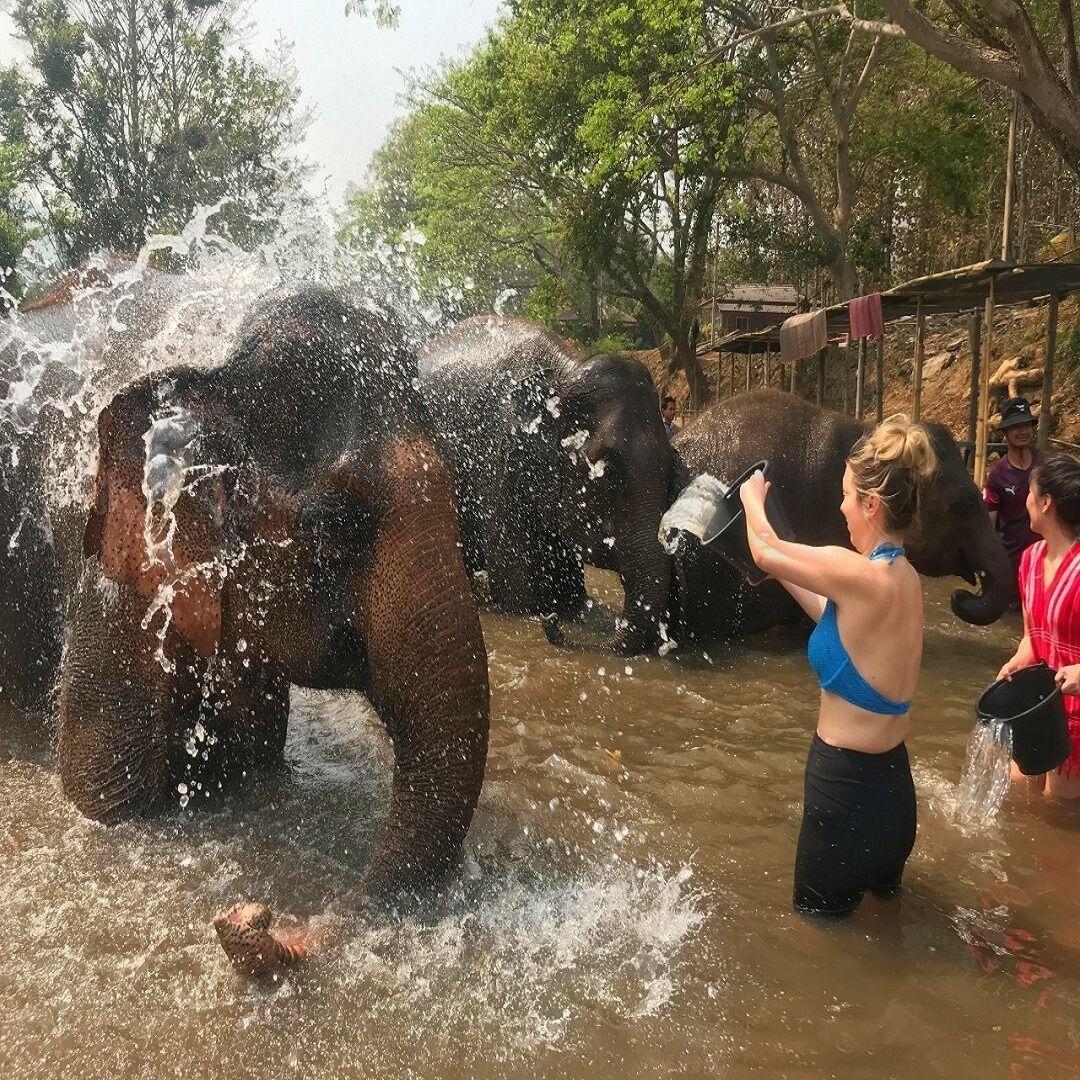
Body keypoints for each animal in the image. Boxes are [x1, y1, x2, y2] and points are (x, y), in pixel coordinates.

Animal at [420, 316, 675, 655]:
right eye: (608, 470)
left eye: (672, 465)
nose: (550, 623)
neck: (565, 369)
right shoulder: (497, 459)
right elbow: (516, 586)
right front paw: (537, 613)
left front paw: (568, 610)